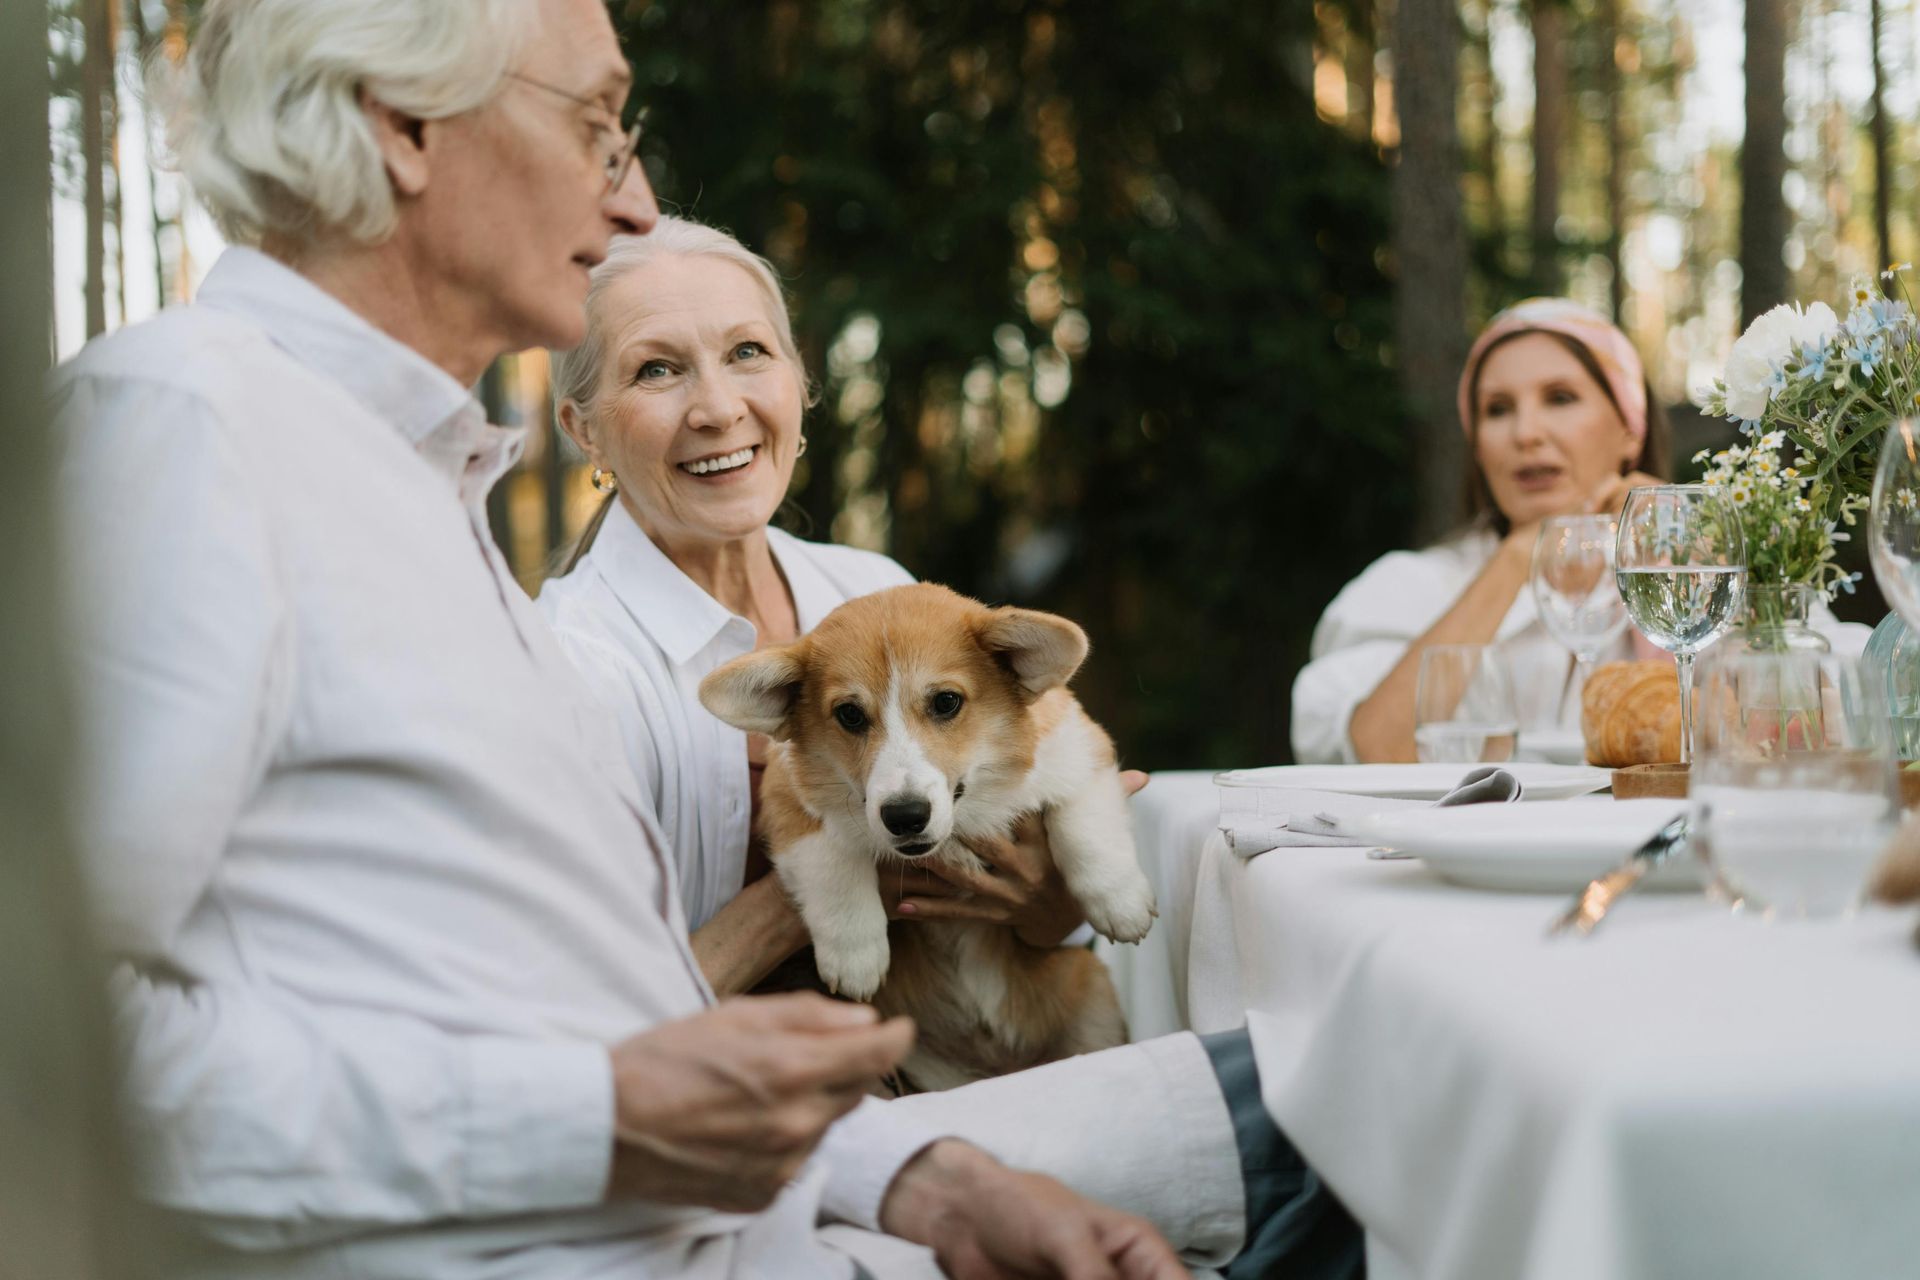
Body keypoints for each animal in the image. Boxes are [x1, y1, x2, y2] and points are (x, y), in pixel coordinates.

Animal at [702, 579, 1152, 1090]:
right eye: (850, 715)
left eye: (946, 702)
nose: (905, 816)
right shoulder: (790, 801)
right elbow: (832, 862)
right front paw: (856, 955)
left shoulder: (1079, 751)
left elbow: (1083, 824)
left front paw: (1121, 903)